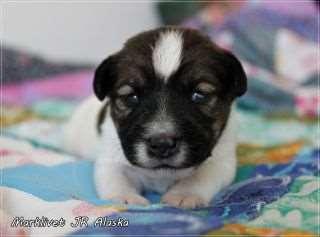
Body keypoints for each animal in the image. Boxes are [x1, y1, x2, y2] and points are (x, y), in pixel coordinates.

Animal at [63, 25, 246, 207]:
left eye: (199, 95)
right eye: (131, 97)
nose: (162, 144)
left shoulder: (221, 161)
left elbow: (200, 176)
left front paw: (184, 194)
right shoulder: (111, 159)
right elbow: (116, 179)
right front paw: (125, 199)